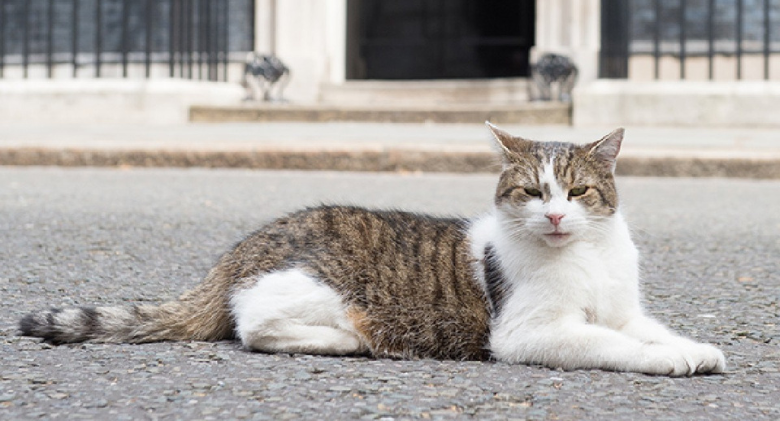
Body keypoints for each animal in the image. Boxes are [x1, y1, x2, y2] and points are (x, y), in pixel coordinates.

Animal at [18, 123, 724, 376]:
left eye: (577, 192)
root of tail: (242, 248)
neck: (587, 256)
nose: (553, 215)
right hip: (319, 290)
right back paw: (350, 341)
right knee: (255, 325)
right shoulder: (527, 331)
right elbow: (610, 343)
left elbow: (646, 328)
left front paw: (695, 348)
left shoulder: (624, 307)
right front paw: (663, 360)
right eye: (531, 191)